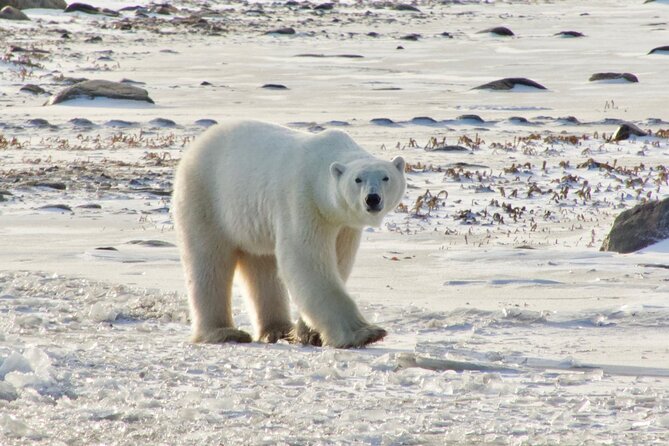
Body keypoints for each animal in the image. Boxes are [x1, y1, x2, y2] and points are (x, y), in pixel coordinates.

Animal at [172, 121, 404, 348]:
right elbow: (306, 259)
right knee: (208, 261)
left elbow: (339, 261)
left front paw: (310, 333)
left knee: (262, 264)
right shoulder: (304, 200)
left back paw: (277, 329)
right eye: (357, 179)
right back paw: (224, 332)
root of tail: (196, 145)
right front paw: (365, 333)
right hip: (206, 198)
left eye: (386, 177)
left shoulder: (344, 224)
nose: (372, 199)